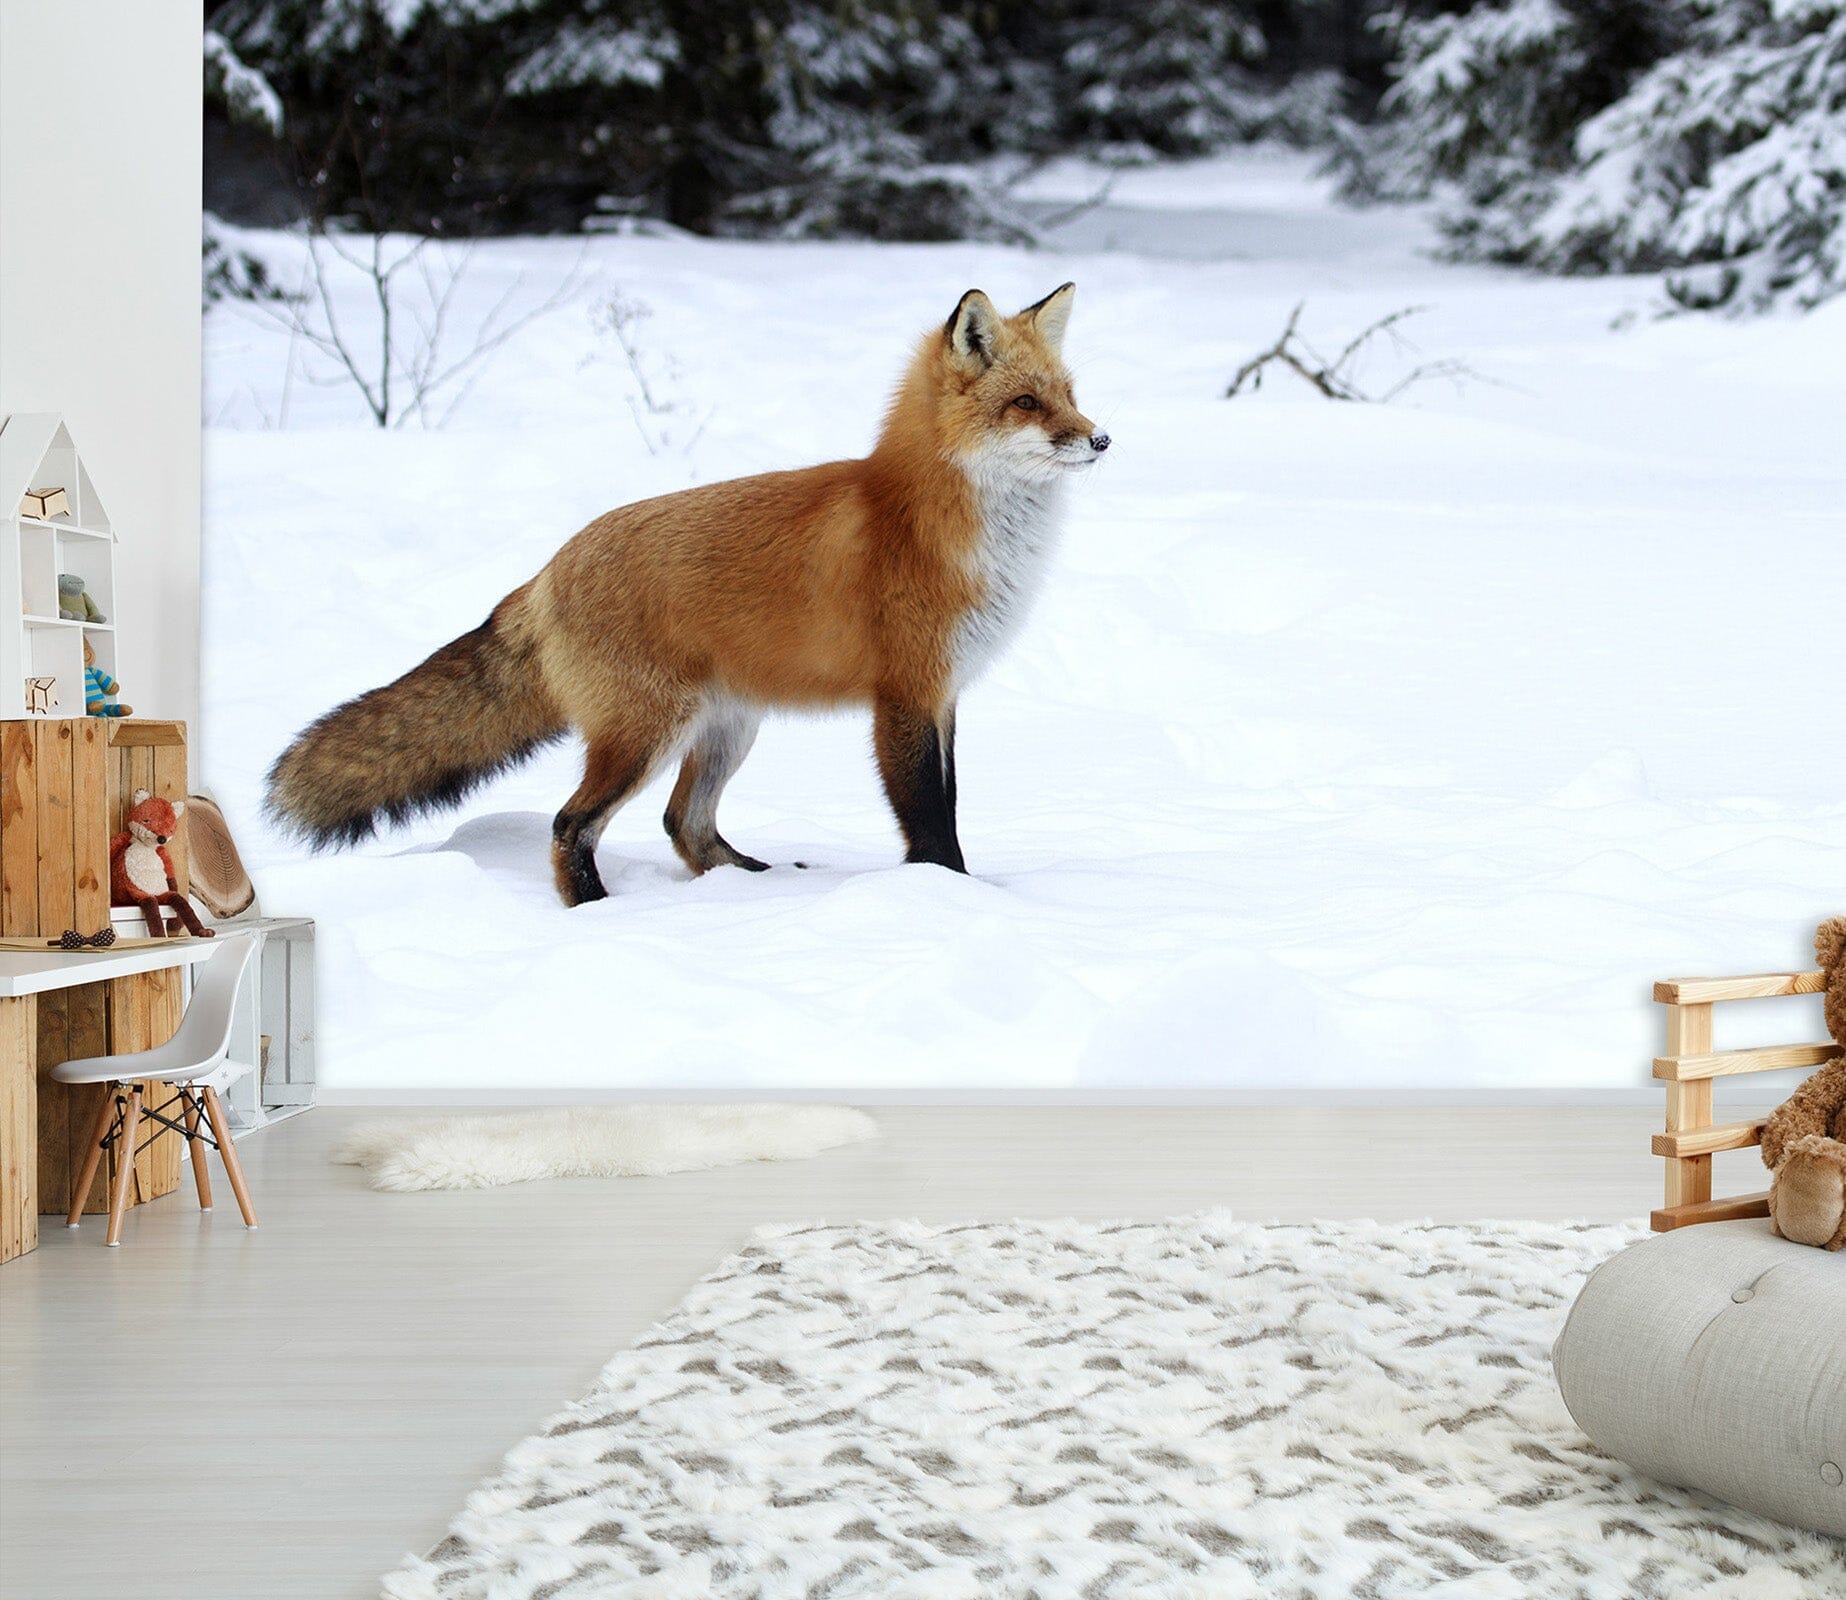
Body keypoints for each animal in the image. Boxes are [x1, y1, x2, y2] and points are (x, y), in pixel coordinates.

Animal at [266, 282, 1108, 906]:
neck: (934, 520)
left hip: (727, 728)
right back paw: (598, 910)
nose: (1101, 440)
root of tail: (547, 571)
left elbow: (951, 804)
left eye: (1070, 394)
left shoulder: (945, 696)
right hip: (647, 734)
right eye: (1027, 404)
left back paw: (748, 890)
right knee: (570, 824)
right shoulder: (905, 693)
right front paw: (953, 900)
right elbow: (929, 819)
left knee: (683, 824)